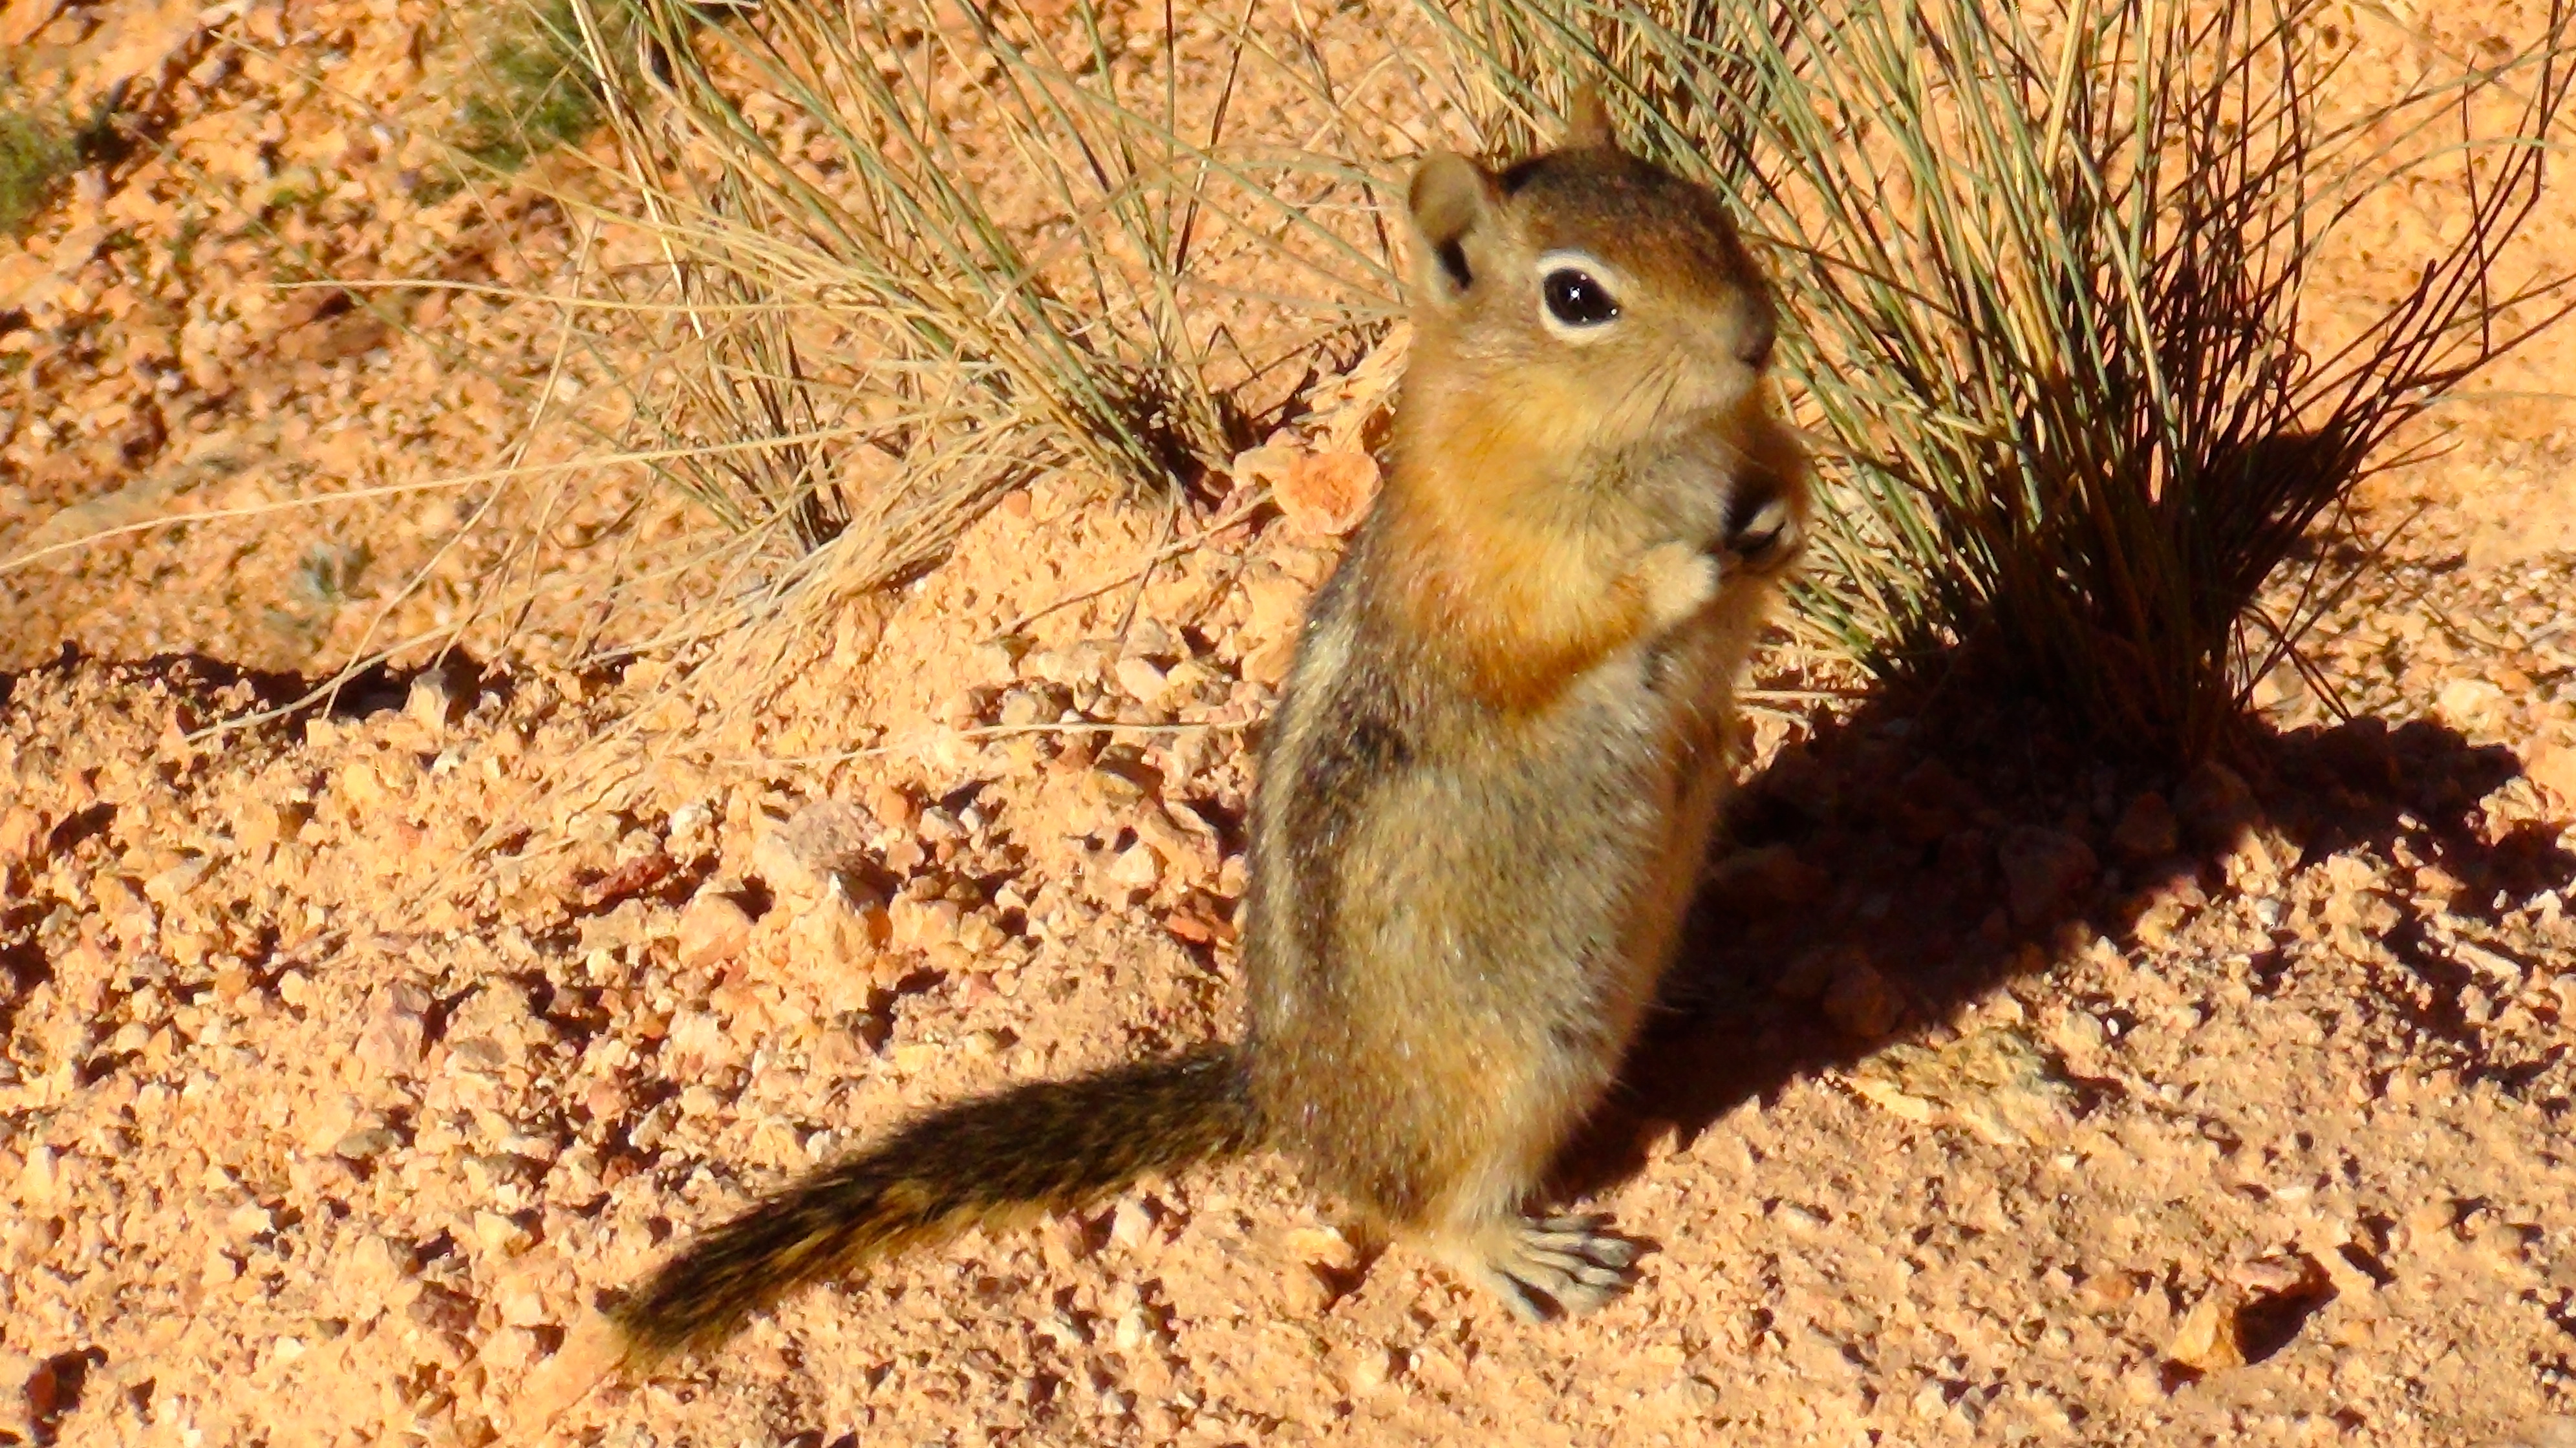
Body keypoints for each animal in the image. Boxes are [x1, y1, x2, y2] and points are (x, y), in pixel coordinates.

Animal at [602, 88, 1809, 1372]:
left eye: (1698, 204)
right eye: (1577, 297)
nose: (1754, 338)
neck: (1617, 443)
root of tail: (1272, 1095)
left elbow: (1779, 477)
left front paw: (1780, 512)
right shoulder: (1486, 579)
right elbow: (1570, 622)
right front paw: (1682, 572)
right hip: (1499, 1086)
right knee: (1406, 1206)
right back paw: (1516, 1249)